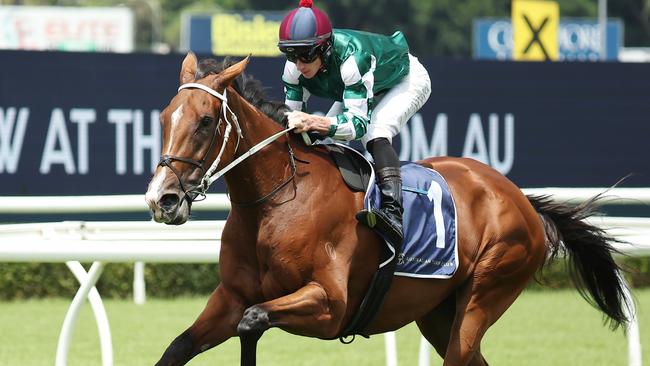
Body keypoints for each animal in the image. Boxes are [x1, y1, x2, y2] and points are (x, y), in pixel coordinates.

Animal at [146, 52, 628, 366]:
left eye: (206, 122)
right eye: (165, 116)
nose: (161, 199)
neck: (277, 204)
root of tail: (519, 197)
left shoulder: (330, 305)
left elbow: (253, 322)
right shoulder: (230, 297)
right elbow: (180, 346)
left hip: (484, 296)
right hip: (438, 313)